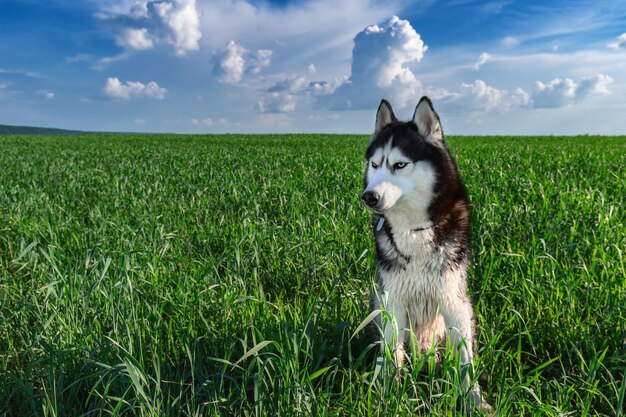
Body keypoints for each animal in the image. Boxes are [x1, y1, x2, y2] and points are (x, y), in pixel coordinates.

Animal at [364, 96, 490, 410]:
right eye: (375, 164)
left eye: (399, 164)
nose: (368, 196)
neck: (413, 229)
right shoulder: (393, 299)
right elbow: (391, 353)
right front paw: (388, 395)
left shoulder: (453, 299)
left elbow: (465, 360)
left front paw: (473, 400)